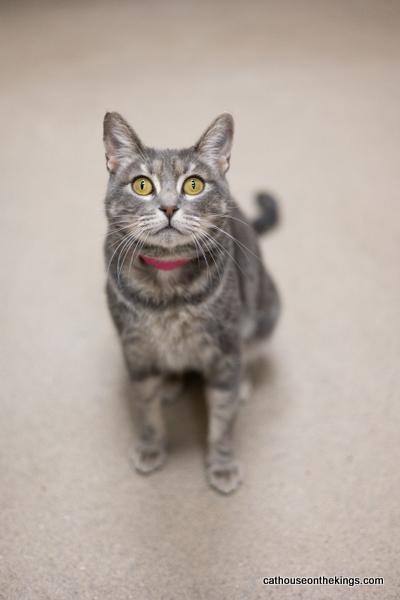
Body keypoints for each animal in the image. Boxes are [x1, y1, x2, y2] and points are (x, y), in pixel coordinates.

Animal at [101, 111, 280, 492]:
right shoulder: (136, 351)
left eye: (193, 185)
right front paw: (151, 447)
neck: (168, 292)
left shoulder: (225, 350)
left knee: (248, 354)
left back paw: (243, 383)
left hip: (265, 314)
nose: (169, 206)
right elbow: (147, 410)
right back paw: (170, 381)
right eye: (142, 185)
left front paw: (222, 464)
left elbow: (223, 418)